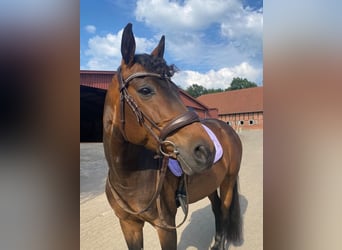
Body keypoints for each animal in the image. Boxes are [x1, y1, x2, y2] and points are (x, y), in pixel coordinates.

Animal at [103, 22, 242, 249]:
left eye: (176, 90)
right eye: (145, 90)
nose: (205, 150)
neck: (128, 178)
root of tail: (227, 128)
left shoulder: (165, 227)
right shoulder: (129, 225)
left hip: (228, 181)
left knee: (224, 210)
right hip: (211, 184)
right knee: (217, 209)